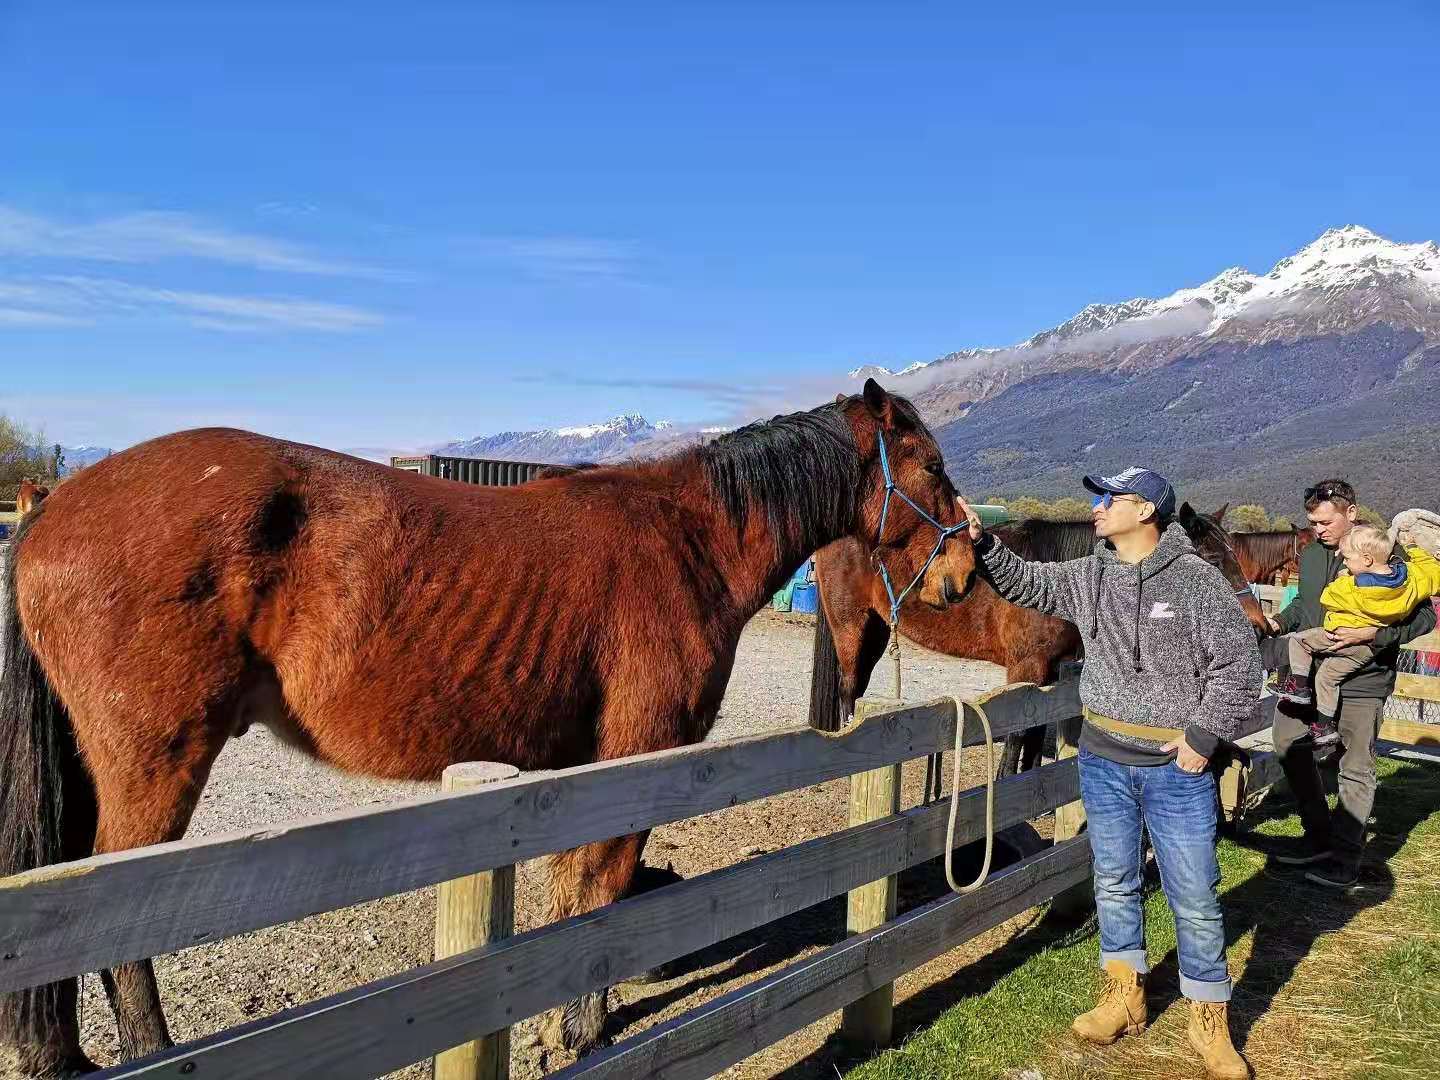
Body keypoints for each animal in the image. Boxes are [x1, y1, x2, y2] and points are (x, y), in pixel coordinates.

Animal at [0, 380, 973, 1077]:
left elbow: (571, 893)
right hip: (153, 763)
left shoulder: (582, 773)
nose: (964, 567)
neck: (685, 539)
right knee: (116, 928)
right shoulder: (634, 758)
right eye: (928, 465)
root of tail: (52, 507)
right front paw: (580, 1032)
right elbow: (599, 892)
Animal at [806, 506, 1267, 777]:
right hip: (852, 629)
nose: (1260, 626)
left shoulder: (1048, 672)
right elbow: (1014, 737)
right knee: (848, 692)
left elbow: (1032, 732)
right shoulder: (1023, 670)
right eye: (1212, 559)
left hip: (878, 629)